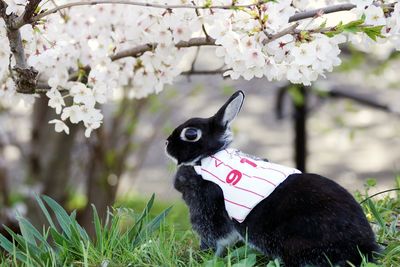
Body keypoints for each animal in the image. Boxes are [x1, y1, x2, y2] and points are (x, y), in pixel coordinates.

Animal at [165, 91, 378, 266]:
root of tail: (363, 246)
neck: (208, 157)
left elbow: (217, 237)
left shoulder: (207, 207)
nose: (167, 143)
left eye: (190, 134)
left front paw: (205, 256)